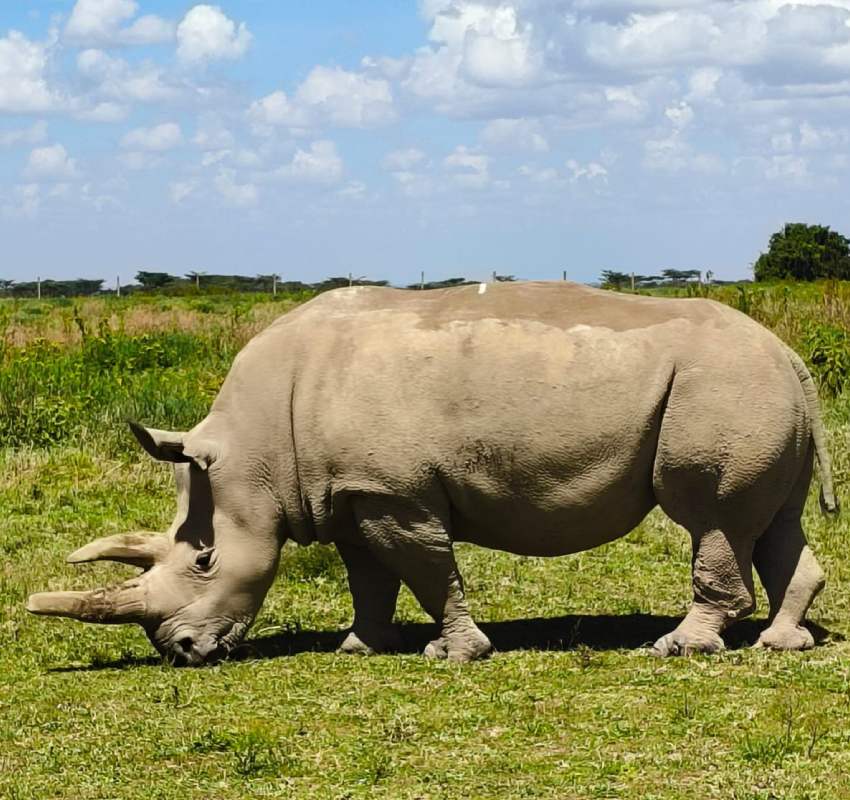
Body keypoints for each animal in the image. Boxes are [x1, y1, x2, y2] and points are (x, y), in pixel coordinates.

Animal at [28, 282, 838, 665]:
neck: (252, 447)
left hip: (724, 388)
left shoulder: (393, 492)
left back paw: (679, 649)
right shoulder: (343, 493)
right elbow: (368, 576)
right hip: (757, 391)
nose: (182, 653)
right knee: (770, 523)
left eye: (204, 560)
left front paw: (452, 655)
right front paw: (361, 646)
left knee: (711, 519)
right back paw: (780, 644)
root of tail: (791, 354)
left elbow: (424, 568)